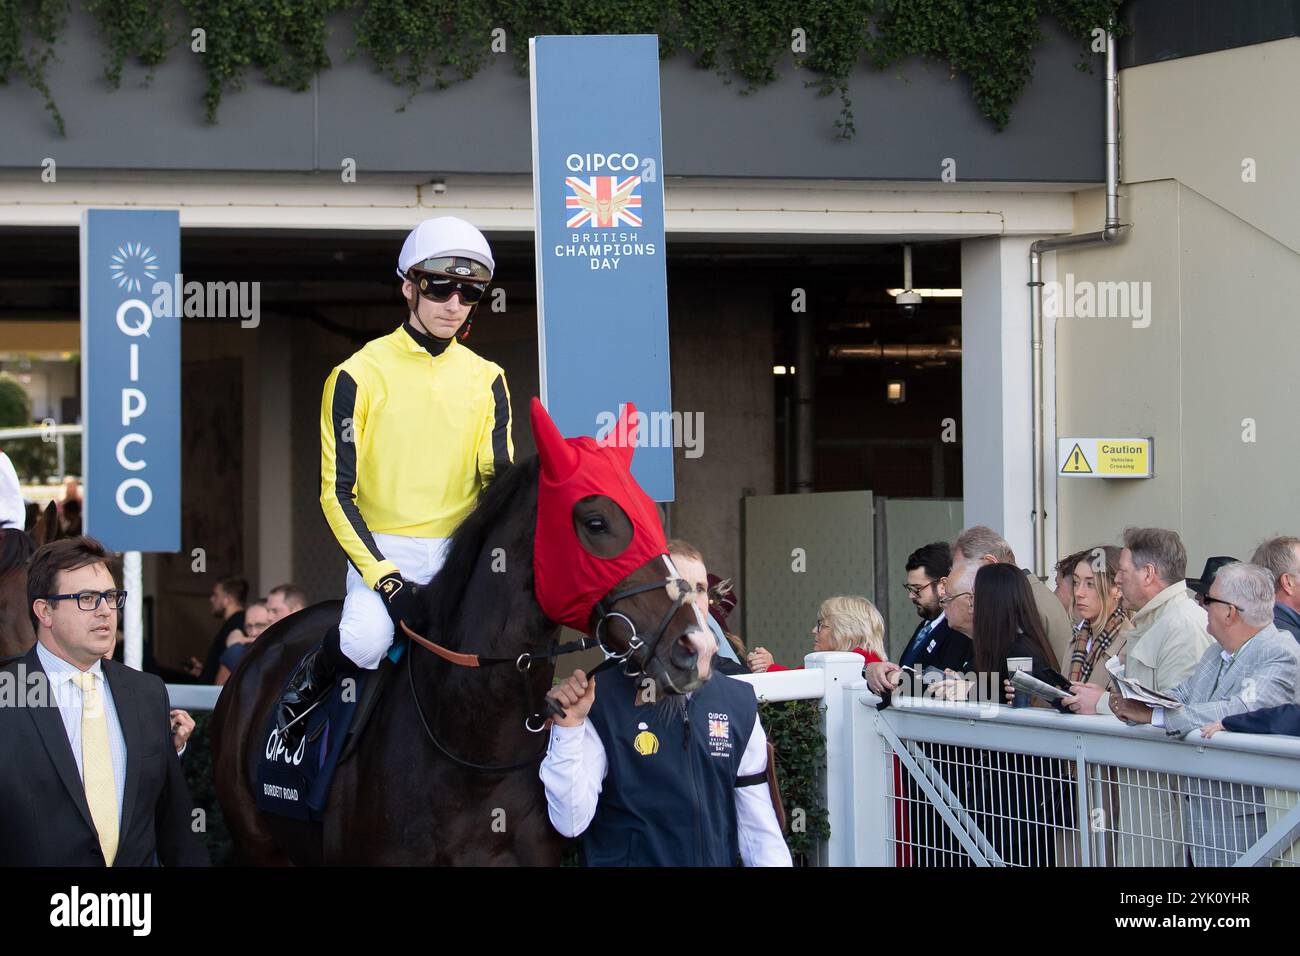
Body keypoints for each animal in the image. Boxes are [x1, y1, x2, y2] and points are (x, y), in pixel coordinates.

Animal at [211, 400, 712, 863]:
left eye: (652, 516)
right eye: (595, 522)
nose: (696, 647)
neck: (473, 747)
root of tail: (260, 649)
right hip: (260, 847)